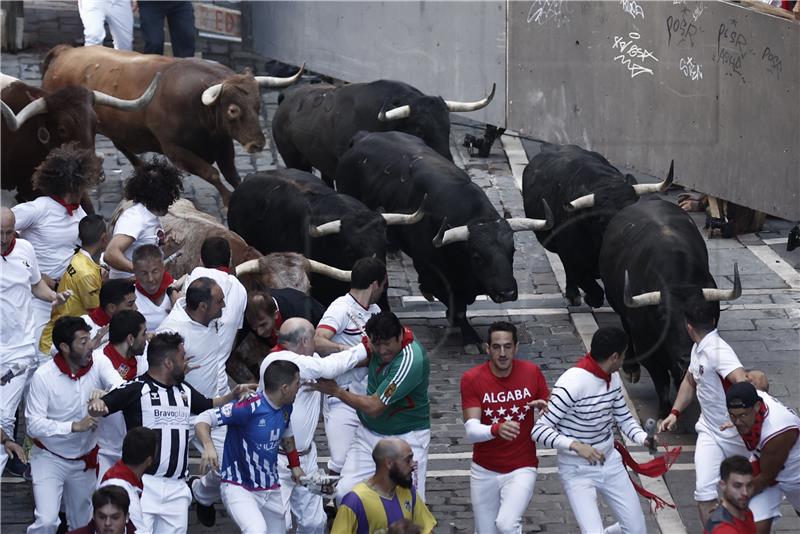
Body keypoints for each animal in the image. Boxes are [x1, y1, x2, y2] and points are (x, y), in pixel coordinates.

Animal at [42, 43, 304, 203]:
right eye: (232, 109)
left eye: (258, 105)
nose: (257, 144)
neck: (196, 104)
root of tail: (64, 53)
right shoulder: (174, 150)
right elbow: (211, 173)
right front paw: (228, 200)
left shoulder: (222, 142)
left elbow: (231, 173)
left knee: (121, 143)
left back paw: (143, 167)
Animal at [336, 132, 552, 352]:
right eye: (477, 256)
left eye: (513, 251)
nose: (507, 292)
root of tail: (364, 137)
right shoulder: (431, 274)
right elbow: (456, 308)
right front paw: (470, 338)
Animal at [604, 201, 740, 418]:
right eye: (662, 317)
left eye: (704, 313)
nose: (685, 359)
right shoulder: (649, 354)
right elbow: (661, 383)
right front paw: (664, 414)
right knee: (625, 326)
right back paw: (631, 368)